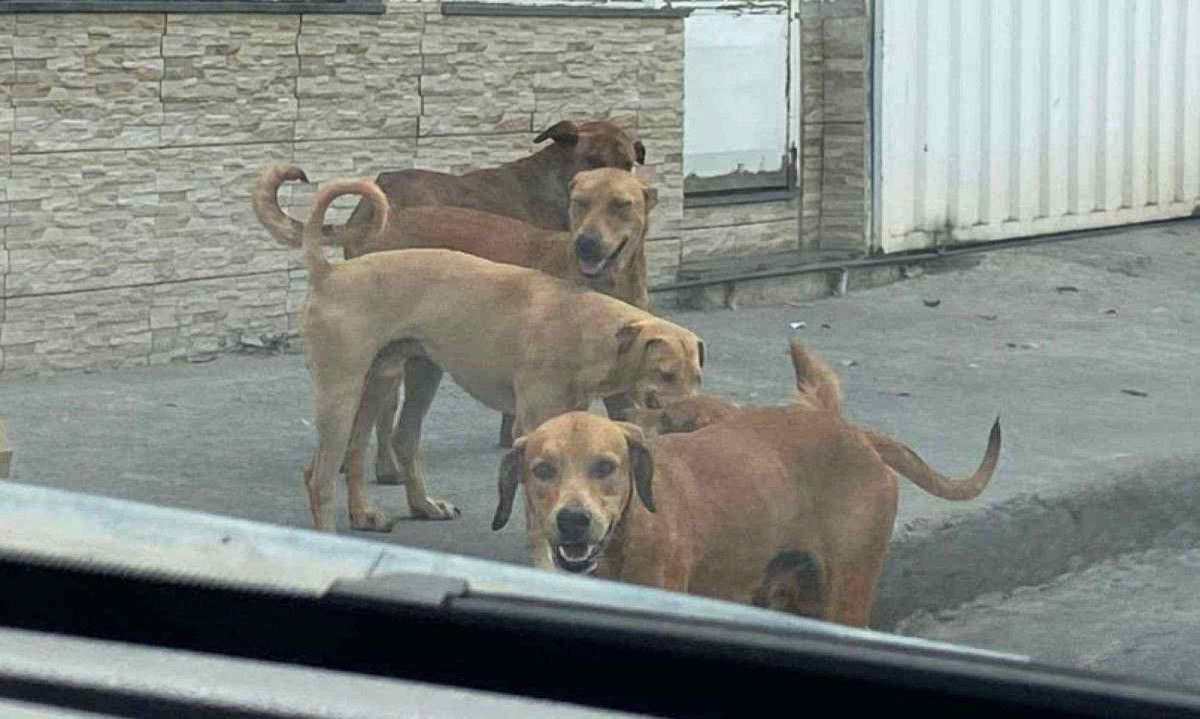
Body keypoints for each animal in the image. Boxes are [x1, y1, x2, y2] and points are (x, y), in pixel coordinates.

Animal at [297, 177, 700, 530]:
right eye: (665, 374)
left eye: (697, 378)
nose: (695, 419)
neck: (580, 321)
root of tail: (329, 273)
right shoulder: (534, 428)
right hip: (342, 395)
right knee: (320, 476)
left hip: (395, 378)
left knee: (379, 444)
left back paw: (391, 510)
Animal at [492, 340, 998, 628]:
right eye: (542, 469)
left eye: (605, 467)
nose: (573, 521)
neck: (628, 531)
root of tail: (854, 433)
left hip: (846, 591)